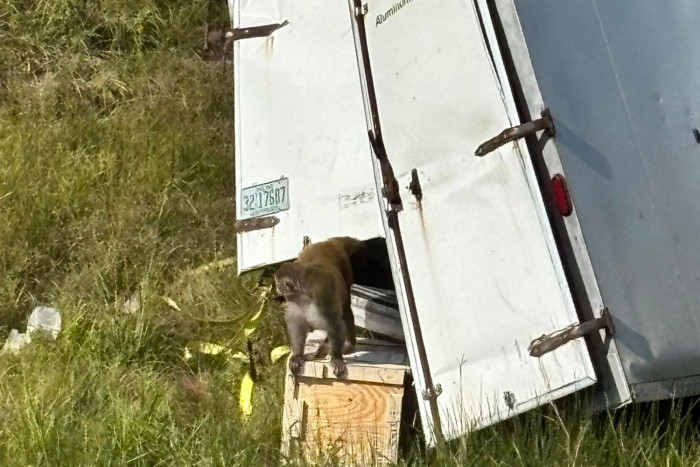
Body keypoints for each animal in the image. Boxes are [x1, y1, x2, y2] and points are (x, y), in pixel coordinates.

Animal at [275, 237, 368, 378]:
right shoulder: (293, 299)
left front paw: (336, 358)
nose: (277, 289)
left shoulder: (322, 292)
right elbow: (297, 324)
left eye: (279, 285)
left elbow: (334, 322)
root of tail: (329, 242)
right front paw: (297, 355)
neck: (304, 291)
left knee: (345, 308)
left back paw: (349, 344)